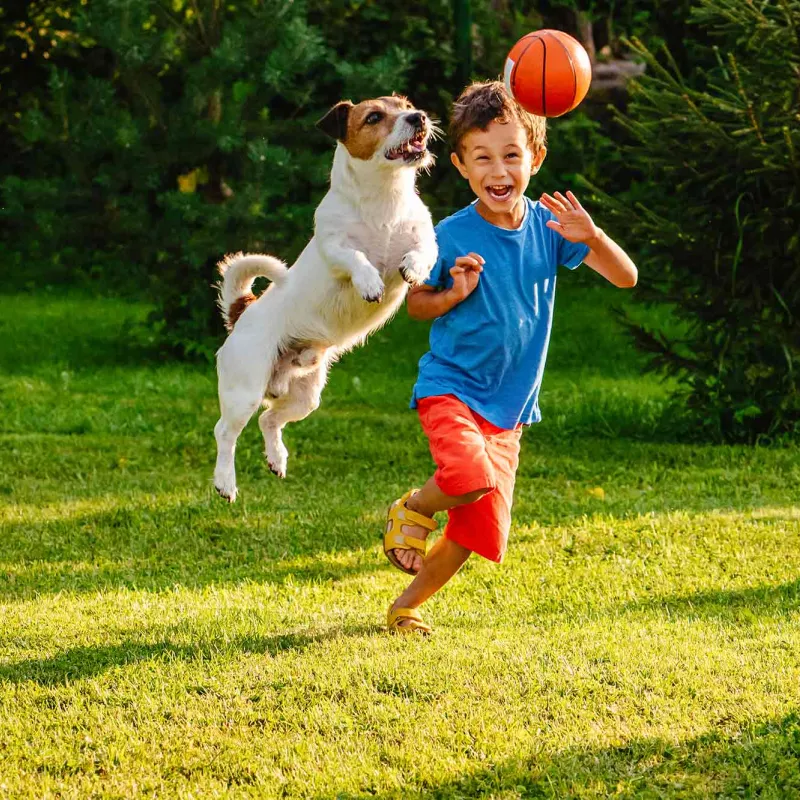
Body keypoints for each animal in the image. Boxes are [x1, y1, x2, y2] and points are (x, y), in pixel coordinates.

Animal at [212, 94, 438, 500]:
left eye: (405, 104)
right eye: (374, 117)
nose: (419, 117)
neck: (384, 200)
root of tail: (242, 313)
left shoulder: (425, 238)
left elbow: (422, 252)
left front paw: (412, 268)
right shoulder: (334, 248)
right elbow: (356, 258)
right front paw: (369, 282)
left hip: (305, 396)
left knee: (270, 419)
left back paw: (277, 459)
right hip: (245, 389)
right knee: (225, 432)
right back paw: (225, 482)